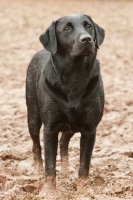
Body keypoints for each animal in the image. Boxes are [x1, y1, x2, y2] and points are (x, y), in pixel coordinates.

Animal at [26, 13, 105, 189]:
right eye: (67, 28)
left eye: (88, 26)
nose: (87, 39)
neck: (74, 76)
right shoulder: (50, 128)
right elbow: (49, 165)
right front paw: (49, 191)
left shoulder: (90, 129)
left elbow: (84, 165)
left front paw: (83, 190)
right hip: (33, 115)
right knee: (36, 146)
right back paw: (37, 172)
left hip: (72, 125)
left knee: (63, 142)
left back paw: (66, 170)